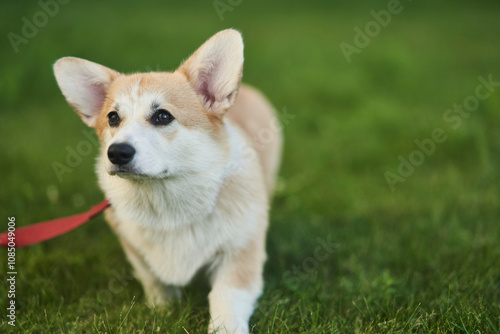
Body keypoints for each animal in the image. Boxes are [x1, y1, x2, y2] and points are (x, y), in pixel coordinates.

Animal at [54, 30, 284, 332]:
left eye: (162, 116)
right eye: (113, 118)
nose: (116, 153)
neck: (167, 202)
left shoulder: (240, 252)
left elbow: (226, 297)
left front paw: (225, 327)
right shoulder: (132, 245)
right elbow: (154, 280)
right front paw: (162, 310)